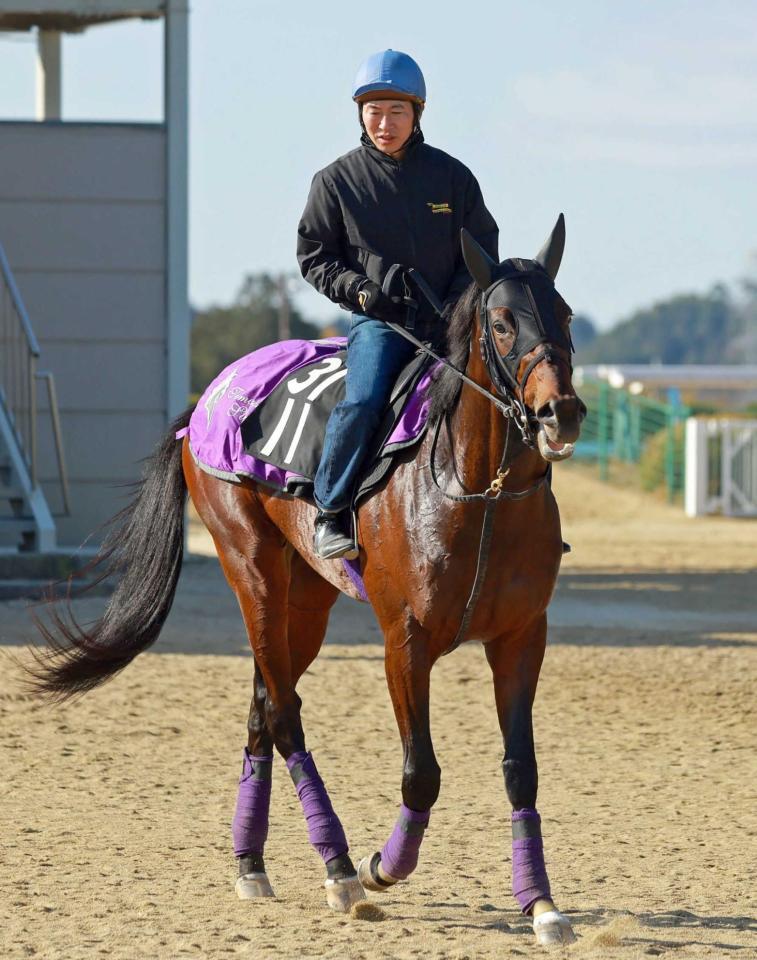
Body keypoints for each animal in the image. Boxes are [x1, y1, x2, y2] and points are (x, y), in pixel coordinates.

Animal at [26, 216, 584, 944]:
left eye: (564, 313)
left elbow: (522, 771)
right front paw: (381, 867)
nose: (559, 413)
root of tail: (206, 403)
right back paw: (340, 868)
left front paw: (541, 904)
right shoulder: (404, 643)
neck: (476, 491)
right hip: (254, 575)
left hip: (307, 603)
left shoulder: (520, 639)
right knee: (284, 716)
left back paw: (251, 862)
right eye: (500, 322)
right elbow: (421, 775)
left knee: (265, 703)